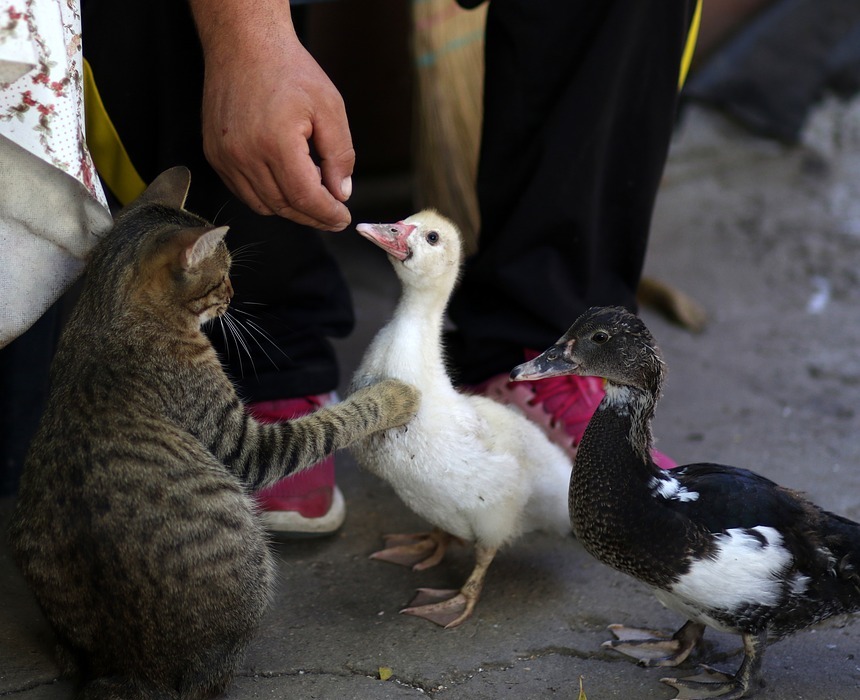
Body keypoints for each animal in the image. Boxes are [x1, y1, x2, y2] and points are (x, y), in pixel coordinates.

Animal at [7, 167, 420, 696]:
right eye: (222, 274)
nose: (232, 296)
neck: (106, 314)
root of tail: (127, 669)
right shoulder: (246, 445)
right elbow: (329, 424)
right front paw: (395, 396)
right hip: (252, 563)